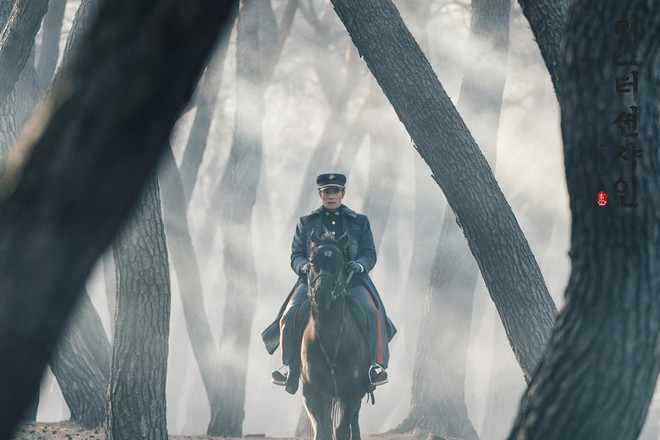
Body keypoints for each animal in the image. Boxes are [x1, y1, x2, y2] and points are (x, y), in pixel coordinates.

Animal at [300, 232, 372, 440]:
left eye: (340, 262)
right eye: (312, 261)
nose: (322, 295)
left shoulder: (352, 392)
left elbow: (342, 430)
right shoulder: (312, 392)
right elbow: (322, 430)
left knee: (354, 423)